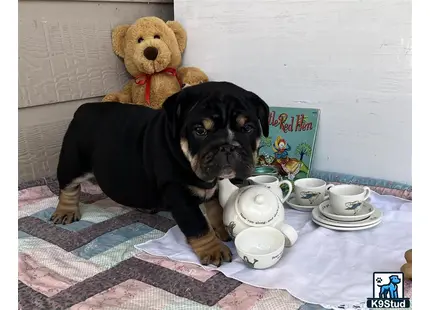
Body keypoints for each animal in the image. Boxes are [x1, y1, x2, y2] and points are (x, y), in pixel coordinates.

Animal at [50, 81, 268, 266]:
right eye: (200, 131)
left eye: (248, 128)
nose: (228, 147)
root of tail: (83, 108)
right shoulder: (179, 195)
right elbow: (198, 225)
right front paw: (213, 249)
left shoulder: (212, 188)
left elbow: (215, 209)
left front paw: (222, 229)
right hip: (73, 163)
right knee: (69, 187)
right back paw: (65, 211)